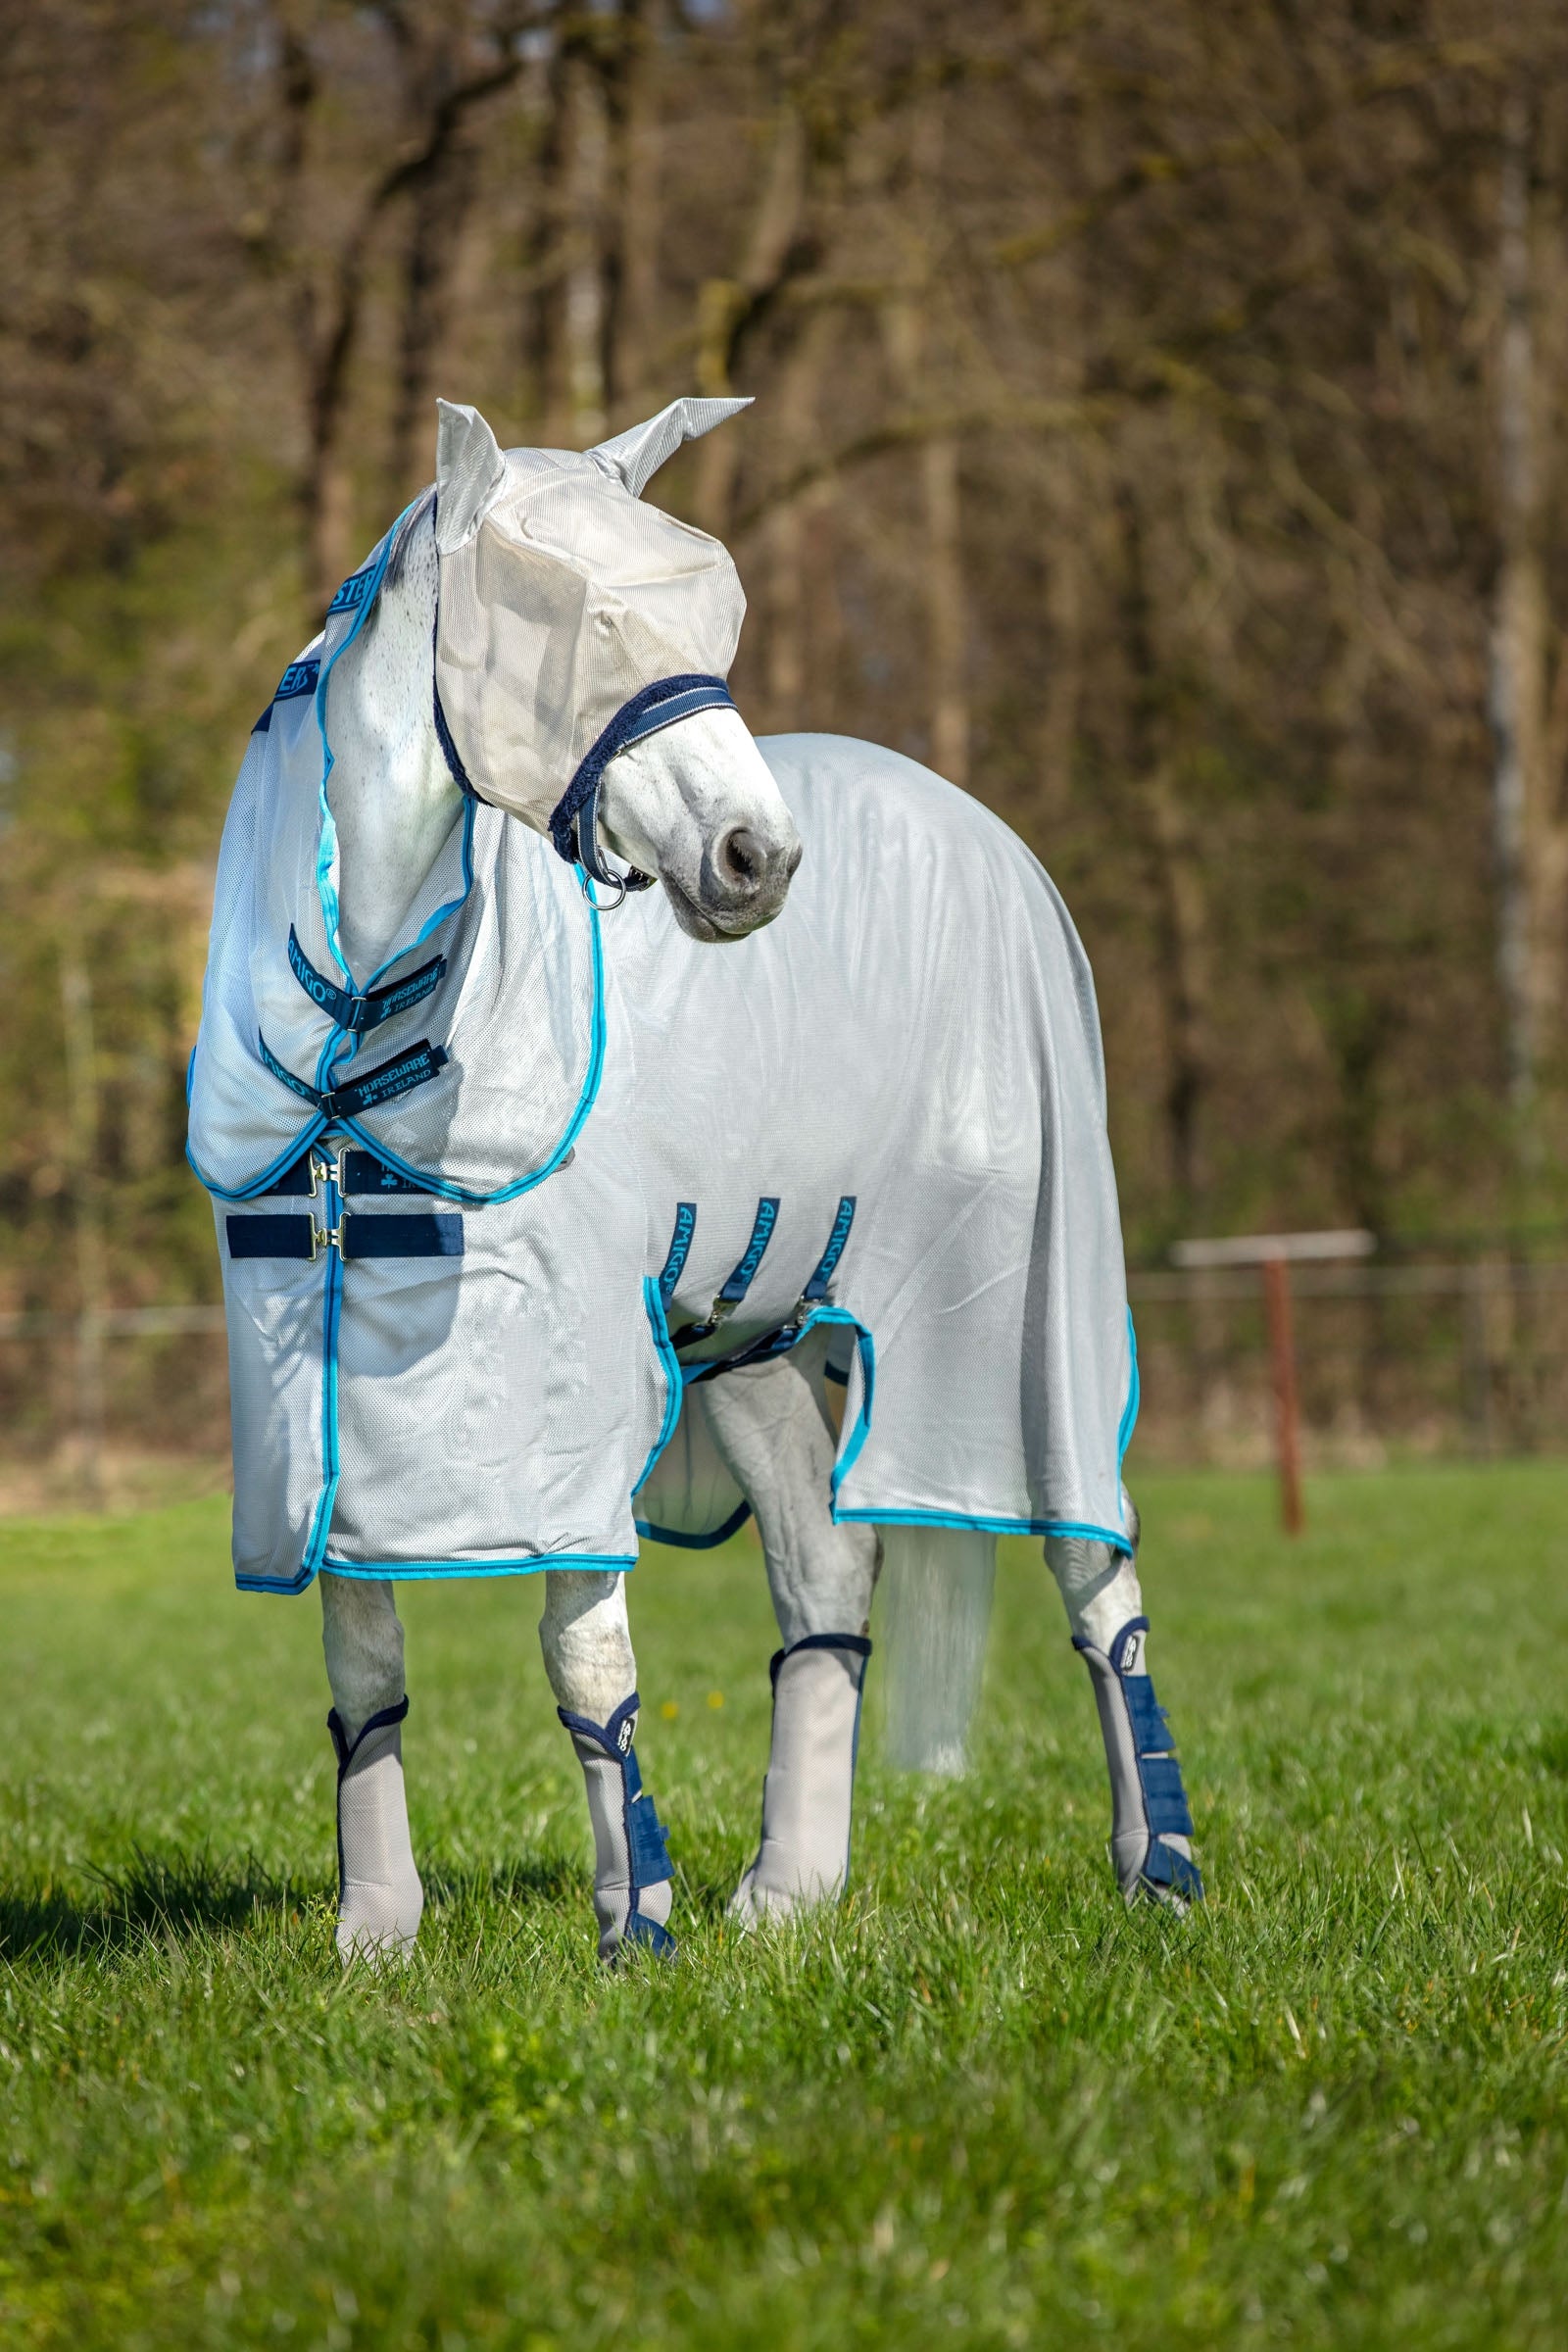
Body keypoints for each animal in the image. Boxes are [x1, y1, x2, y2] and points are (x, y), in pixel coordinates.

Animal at [188, 395, 1202, 1963]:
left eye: (707, 612)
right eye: (584, 618)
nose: (757, 858)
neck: (367, 1011)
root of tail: (979, 831)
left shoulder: (565, 1387)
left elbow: (582, 1653)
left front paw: (632, 1931)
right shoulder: (316, 1394)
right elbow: (362, 1655)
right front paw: (375, 1933)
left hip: (1020, 1317)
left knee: (1099, 1573)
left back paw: (1157, 1869)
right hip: (751, 1335)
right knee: (827, 1575)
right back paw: (789, 1893)